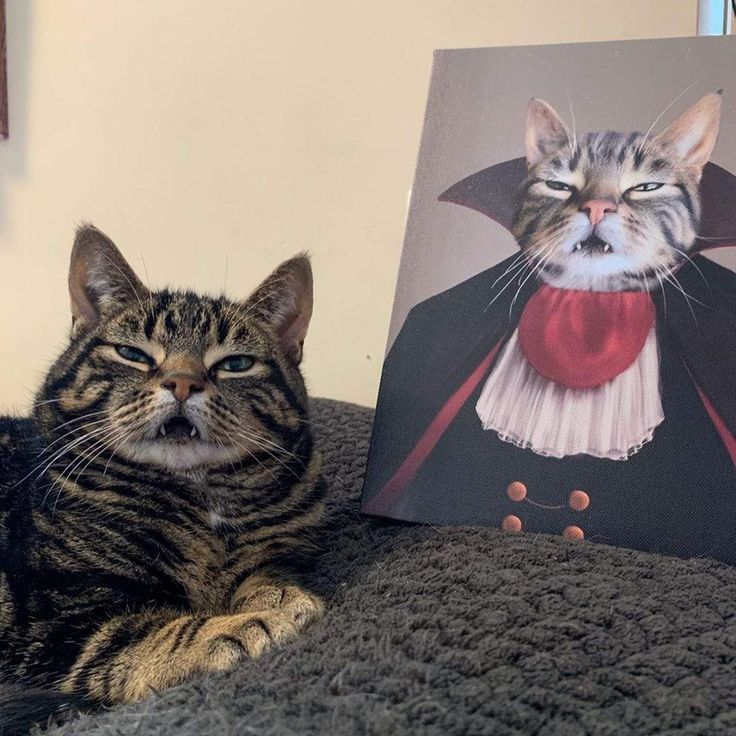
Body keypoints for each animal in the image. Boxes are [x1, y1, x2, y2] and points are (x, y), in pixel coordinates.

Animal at [0, 227, 326, 732]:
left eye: (235, 364)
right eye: (132, 354)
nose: (183, 383)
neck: (201, 498)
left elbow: (263, 570)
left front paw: (276, 595)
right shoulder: (57, 618)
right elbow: (144, 632)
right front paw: (238, 625)